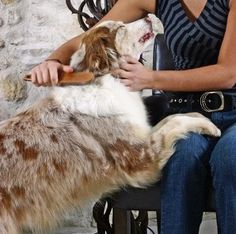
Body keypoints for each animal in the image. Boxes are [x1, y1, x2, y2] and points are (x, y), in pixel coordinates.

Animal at [0, 18, 220, 234]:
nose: (149, 17)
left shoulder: (140, 133)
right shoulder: (140, 157)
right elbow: (175, 121)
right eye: (121, 27)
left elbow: (172, 118)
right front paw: (210, 126)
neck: (108, 78)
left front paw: (200, 117)